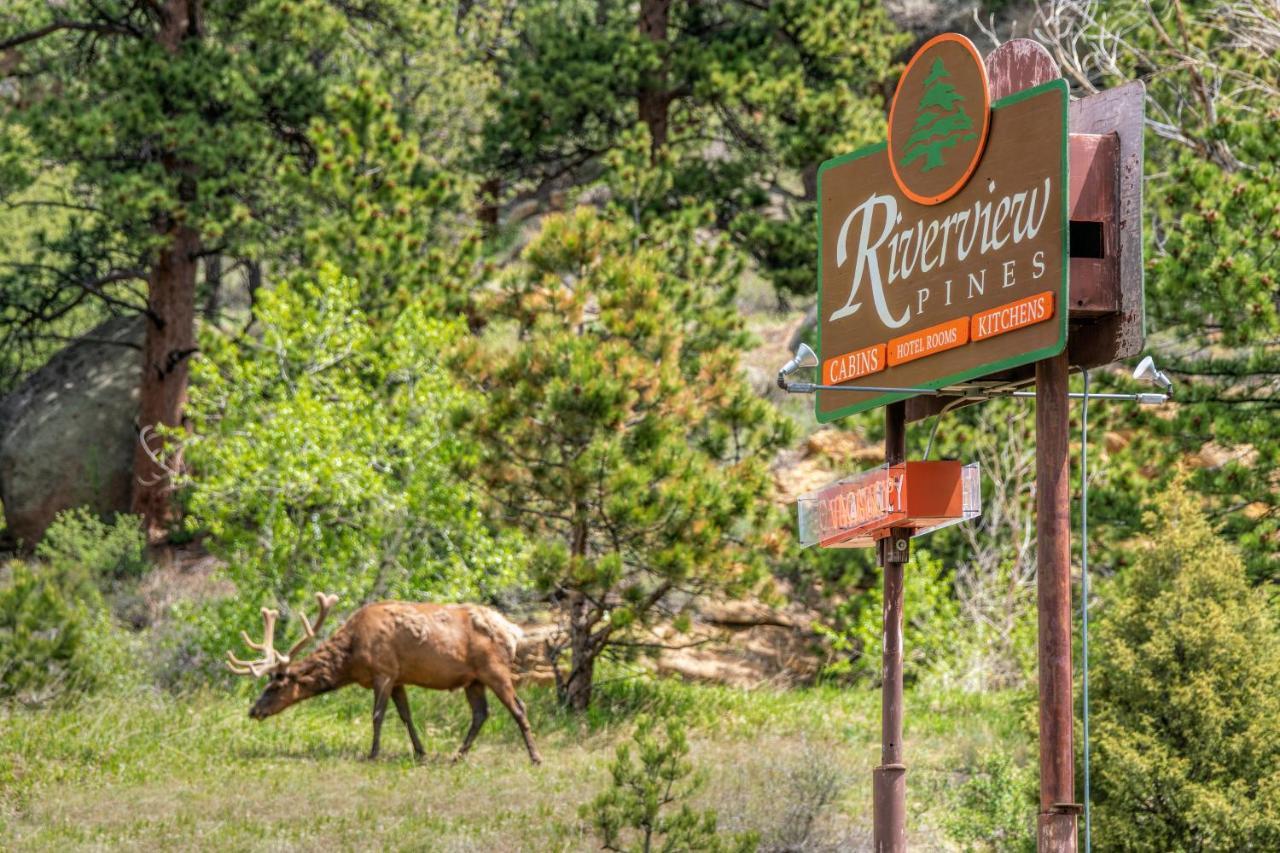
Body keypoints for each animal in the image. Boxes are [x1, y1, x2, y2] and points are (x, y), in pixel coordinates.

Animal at [230, 591, 540, 763]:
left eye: (275, 686)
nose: (253, 710)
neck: (353, 656)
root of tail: (514, 631)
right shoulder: (398, 677)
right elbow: (406, 715)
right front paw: (421, 752)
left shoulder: (383, 671)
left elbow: (377, 715)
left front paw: (373, 753)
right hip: (473, 680)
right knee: (481, 713)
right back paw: (457, 755)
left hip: (495, 669)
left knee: (519, 707)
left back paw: (535, 757)